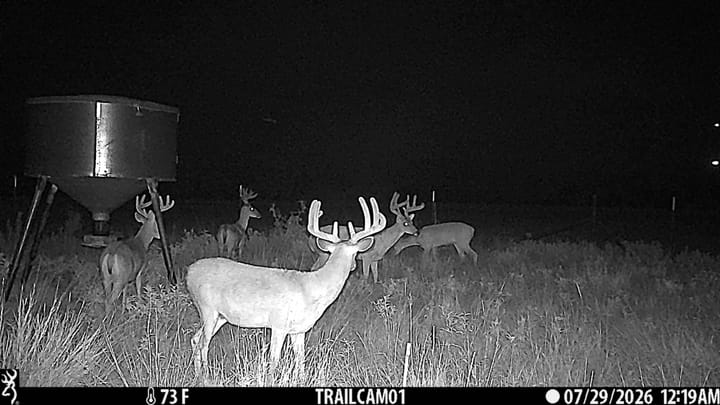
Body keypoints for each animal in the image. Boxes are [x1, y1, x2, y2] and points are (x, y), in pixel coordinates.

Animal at [186, 196, 387, 381]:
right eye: (356, 253)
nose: (353, 266)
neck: (312, 289)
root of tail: (189, 273)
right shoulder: (278, 323)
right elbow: (274, 361)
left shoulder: (298, 329)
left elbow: (300, 360)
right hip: (207, 308)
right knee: (203, 344)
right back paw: (206, 377)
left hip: (220, 316)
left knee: (195, 339)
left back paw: (198, 375)